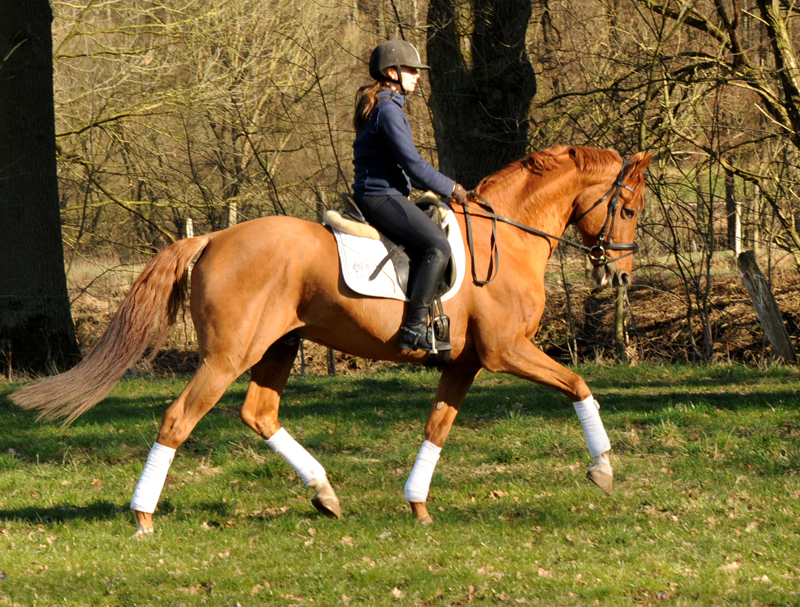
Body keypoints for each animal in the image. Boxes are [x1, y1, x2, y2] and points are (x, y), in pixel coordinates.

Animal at [10, 145, 648, 536]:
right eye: (629, 207)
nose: (619, 276)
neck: (507, 237)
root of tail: (213, 237)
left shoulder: (464, 364)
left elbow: (437, 427)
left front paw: (417, 503)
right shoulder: (507, 352)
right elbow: (577, 384)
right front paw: (604, 469)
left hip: (278, 348)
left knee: (259, 413)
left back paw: (323, 491)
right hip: (227, 357)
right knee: (178, 419)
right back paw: (143, 517)